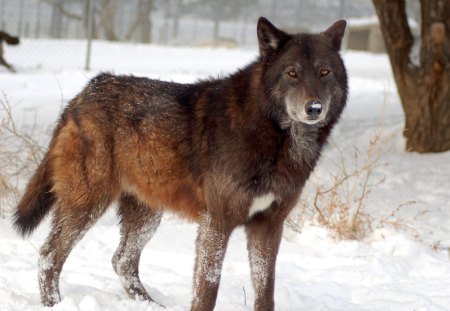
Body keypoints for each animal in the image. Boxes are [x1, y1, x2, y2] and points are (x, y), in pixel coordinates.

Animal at [13, 17, 344, 311]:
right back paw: (55, 305)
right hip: (88, 204)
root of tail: (86, 91)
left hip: (146, 215)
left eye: (324, 72)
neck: (270, 134)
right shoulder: (216, 222)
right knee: (49, 254)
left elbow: (266, 291)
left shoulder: (269, 225)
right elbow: (208, 288)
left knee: (122, 261)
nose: (314, 108)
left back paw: (149, 305)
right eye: (292, 73)